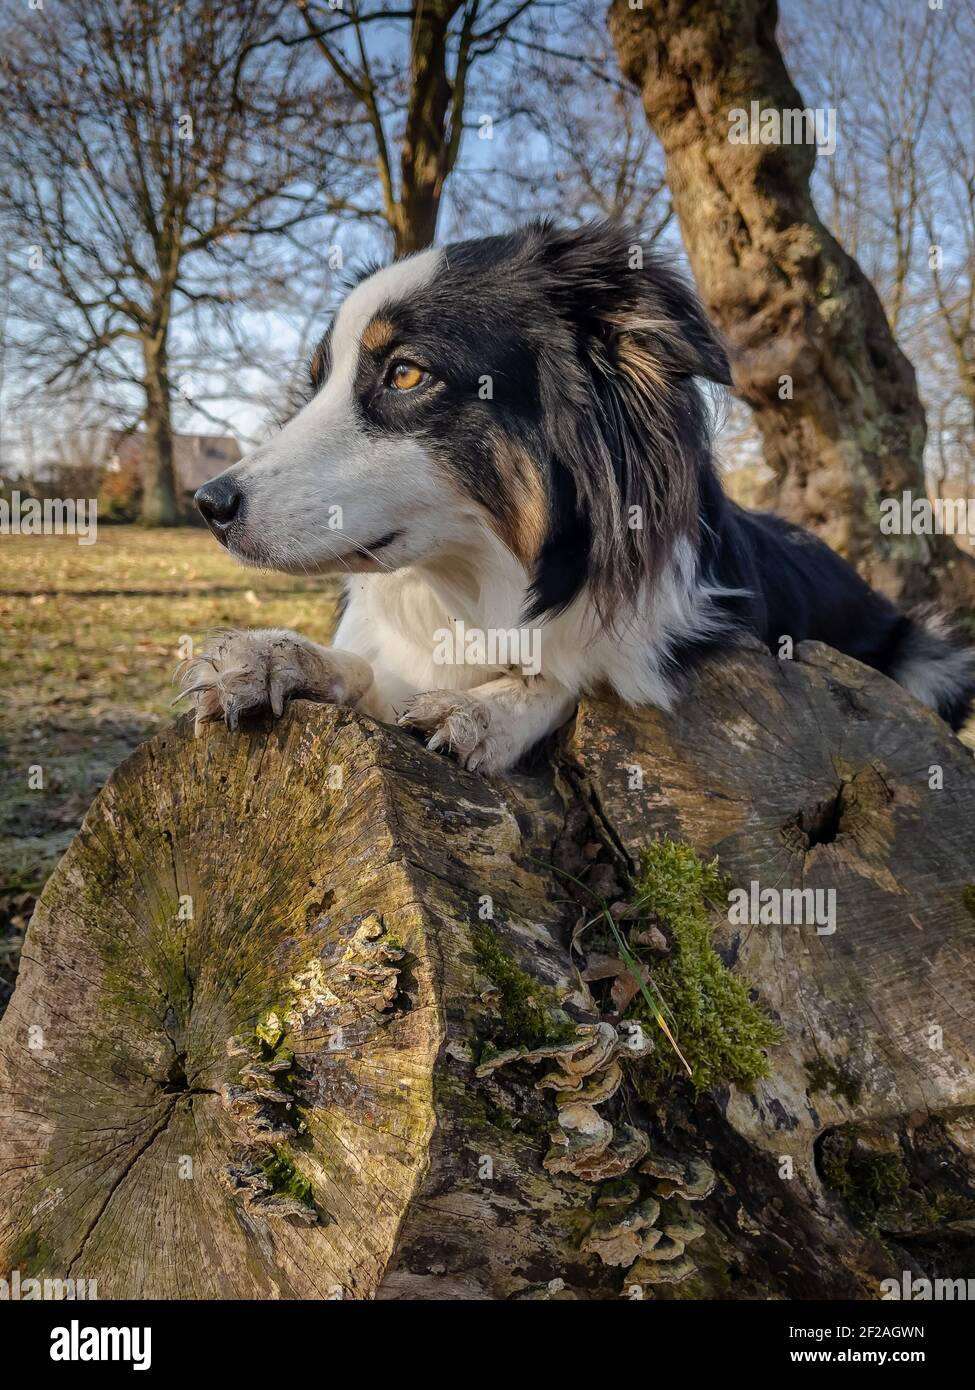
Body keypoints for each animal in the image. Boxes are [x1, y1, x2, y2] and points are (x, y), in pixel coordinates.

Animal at [180, 222, 973, 778]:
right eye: (319, 381)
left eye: (405, 374)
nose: (210, 505)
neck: (467, 586)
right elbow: (364, 667)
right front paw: (274, 656)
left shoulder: (693, 635)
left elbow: (568, 675)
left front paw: (483, 711)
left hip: (929, 659)